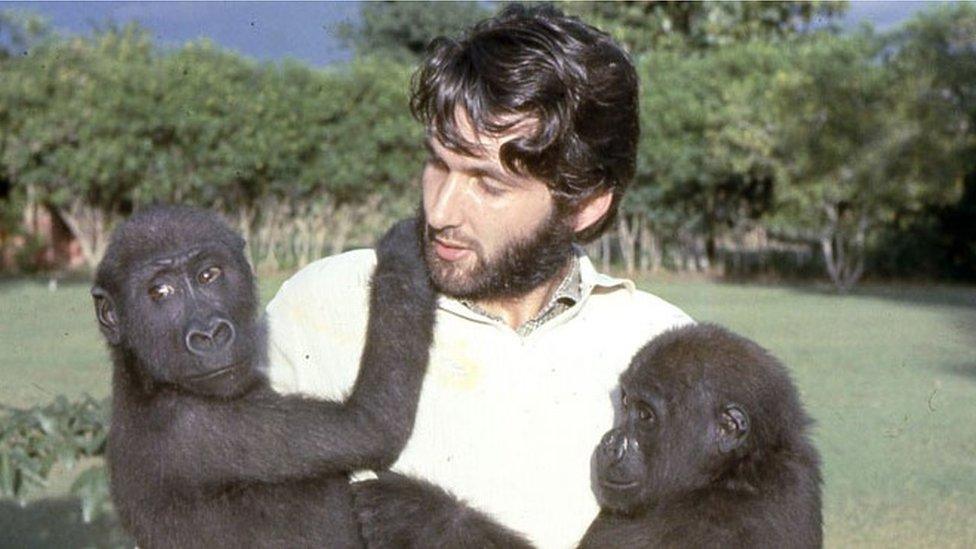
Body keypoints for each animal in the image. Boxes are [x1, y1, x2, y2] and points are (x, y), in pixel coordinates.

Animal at [91, 207, 434, 548]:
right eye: (160, 292)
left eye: (209, 275)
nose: (209, 334)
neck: (142, 375)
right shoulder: (200, 427)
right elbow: (372, 424)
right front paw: (404, 250)